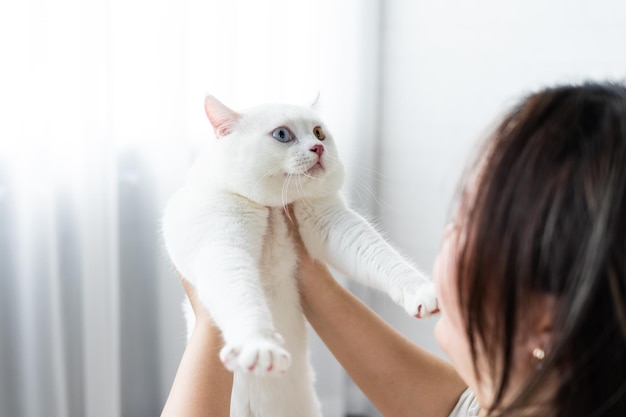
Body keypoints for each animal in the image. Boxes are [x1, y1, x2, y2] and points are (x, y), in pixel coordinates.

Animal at [162, 96, 434, 416]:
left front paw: (423, 291)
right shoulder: (222, 246)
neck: (274, 208)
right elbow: (242, 296)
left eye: (318, 133)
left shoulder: (337, 224)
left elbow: (382, 256)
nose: (318, 148)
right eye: (282, 134)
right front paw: (260, 345)